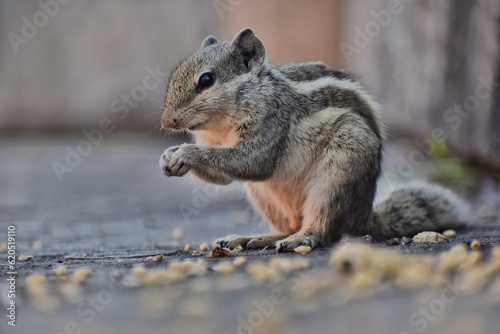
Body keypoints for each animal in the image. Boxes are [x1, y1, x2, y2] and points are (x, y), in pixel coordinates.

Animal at [158, 28, 466, 252]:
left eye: (206, 80)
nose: (166, 122)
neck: (221, 125)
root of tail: (364, 216)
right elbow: (223, 175)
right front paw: (168, 156)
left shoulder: (270, 123)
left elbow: (253, 161)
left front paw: (186, 153)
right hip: (266, 197)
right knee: (291, 225)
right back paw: (252, 239)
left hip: (337, 175)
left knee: (323, 230)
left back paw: (300, 239)